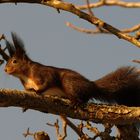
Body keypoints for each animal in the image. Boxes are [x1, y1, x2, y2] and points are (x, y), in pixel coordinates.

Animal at [3, 32, 140, 106]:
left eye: (14, 61)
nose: (5, 70)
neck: (25, 75)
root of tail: (92, 85)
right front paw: (33, 90)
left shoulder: (41, 71)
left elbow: (49, 80)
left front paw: (39, 91)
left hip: (69, 82)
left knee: (83, 96)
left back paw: (76, 101)